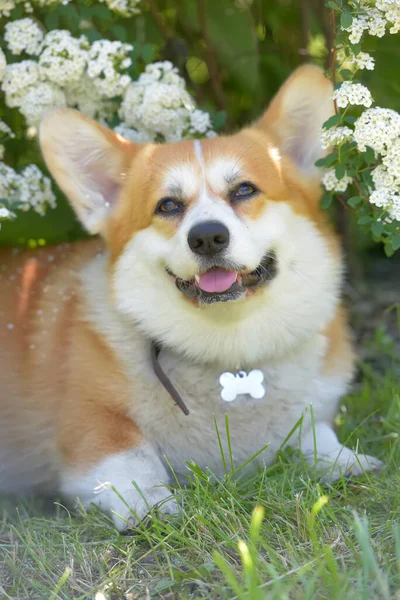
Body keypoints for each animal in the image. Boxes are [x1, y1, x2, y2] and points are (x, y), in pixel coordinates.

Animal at [0, 65, 382, 528]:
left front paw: (348, 461)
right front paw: (150, 502)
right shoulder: (89, 425)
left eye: (244, 190)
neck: (228, 353)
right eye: (167, 205)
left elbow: (315, 433)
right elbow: (131, 457)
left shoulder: (312, 412)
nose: (208, 238)